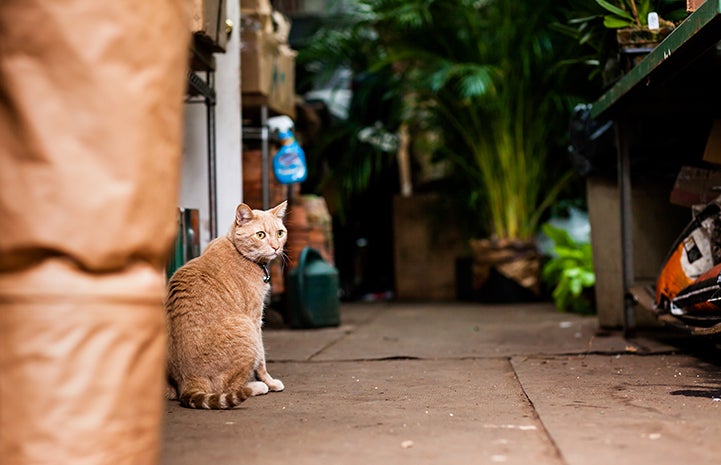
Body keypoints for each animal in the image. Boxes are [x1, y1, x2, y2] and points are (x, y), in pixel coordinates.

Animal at [165, 199, 286, 406]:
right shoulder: (255, 318)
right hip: (246, 328)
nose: (276, 247)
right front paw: (269, 382)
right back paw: (256, 387)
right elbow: (261, 359)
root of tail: (187, 380)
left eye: (280, 233)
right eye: (260, 235)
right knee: (228, 387)